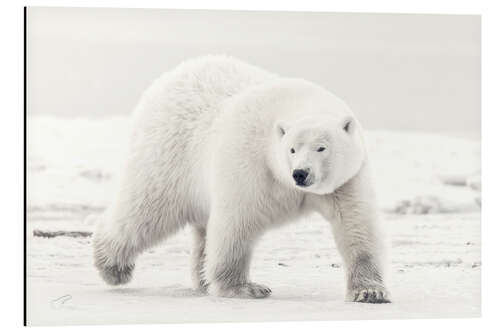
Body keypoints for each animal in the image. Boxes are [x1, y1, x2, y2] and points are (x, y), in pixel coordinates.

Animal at [94, 55, 390, 302]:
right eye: (292, 149)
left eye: (321, 147)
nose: (300, 173)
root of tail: (169, 78)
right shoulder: (251, 163)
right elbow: (237, 222)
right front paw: (246, 288)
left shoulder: (347, 181)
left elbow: (356, 225)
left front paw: (370, 292)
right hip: (170, 155)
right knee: (147, 210)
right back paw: (112, 267)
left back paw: (201, 280)